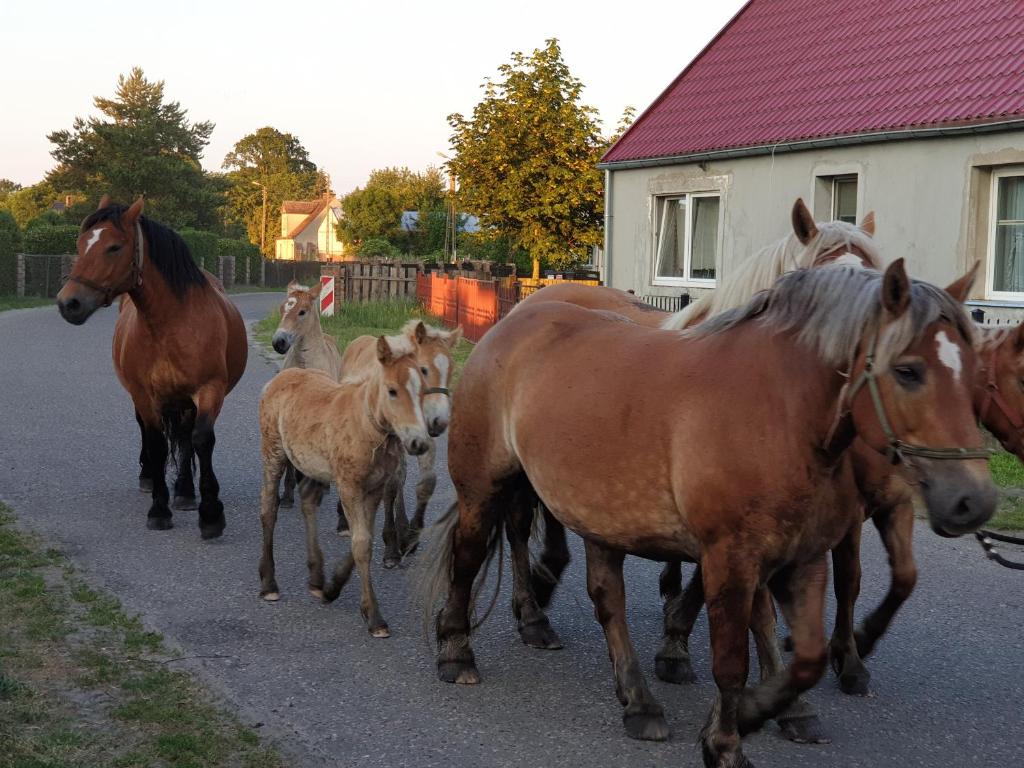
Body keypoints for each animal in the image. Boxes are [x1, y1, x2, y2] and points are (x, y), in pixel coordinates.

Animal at [57, 198, 246, 540]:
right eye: (80, 244)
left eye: (114, 247)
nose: (69, 303)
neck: (170, 324)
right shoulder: (145, 395)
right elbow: (157, 444)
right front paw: (159, 509)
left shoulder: (209, 391)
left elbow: (201, 441)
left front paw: (210, 513)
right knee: (149, 432)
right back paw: (150, 478)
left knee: (185, 438)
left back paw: (185, 491)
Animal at [260, 335, 432, 638]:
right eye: (392, 391)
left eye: (422, 389)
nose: (418, 441)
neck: (367, 425)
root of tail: (278, 380)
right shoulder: (349, 486)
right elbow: (361, 544)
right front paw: (375, 617)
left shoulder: (374, 489)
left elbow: (364, 539)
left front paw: (333, 587)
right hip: (274, 454)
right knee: (269, 507)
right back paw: (269, 584)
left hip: (312, 465)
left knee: (308, 501)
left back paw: (317, 578)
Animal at [421, 262, 991, 765]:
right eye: (908, 371)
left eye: (976, 376)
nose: (973, 501)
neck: (779, 412)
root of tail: (510, 325)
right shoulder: (730, 561)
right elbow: (732, 662)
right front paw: (727, 740)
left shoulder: (802, 560)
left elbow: (804, 658)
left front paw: (767, 712)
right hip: (484, 491)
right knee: (470, 557)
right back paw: (457, 651)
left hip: (597, 516)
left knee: (606, 599)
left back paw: (637, 701)